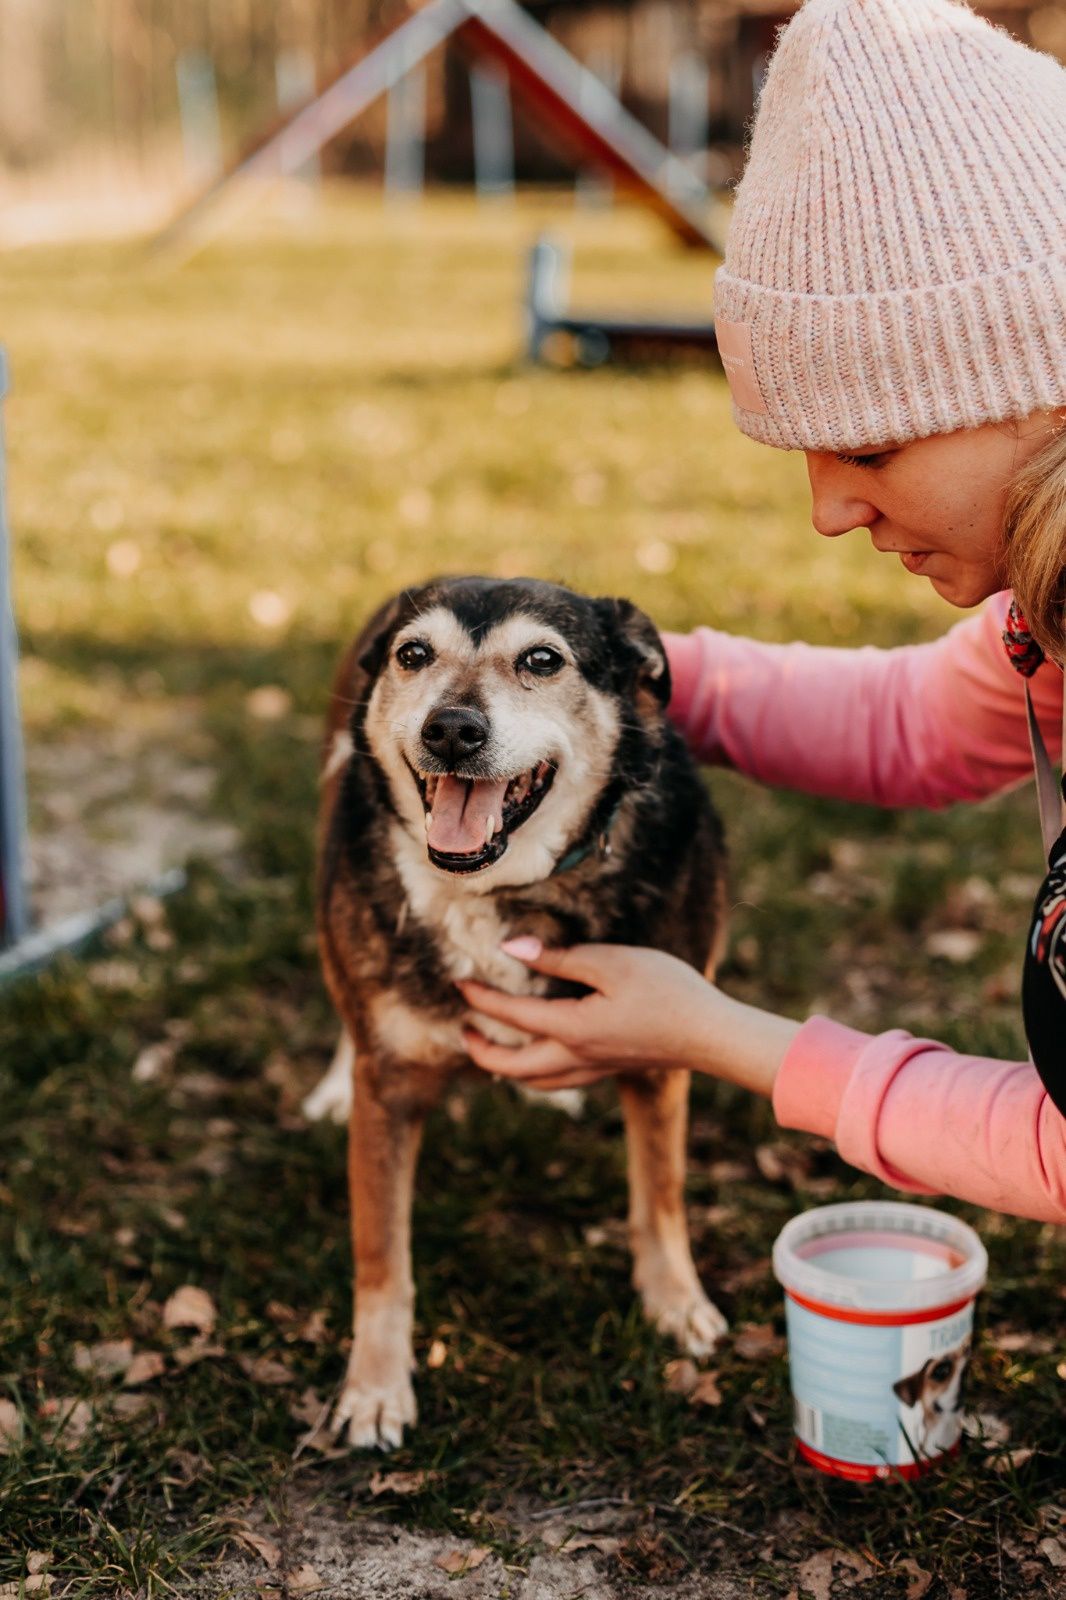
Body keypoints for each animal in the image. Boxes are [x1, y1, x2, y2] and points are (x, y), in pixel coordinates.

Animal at [313, 579, 729, 1452]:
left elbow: (661, 1195)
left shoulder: (660, 1057)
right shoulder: (389, 1088)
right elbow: (382, 1257)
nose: (451, 729)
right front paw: (375, 1387)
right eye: (414, 654)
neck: (497, 890)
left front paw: (676, 1304)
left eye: (542, 660)